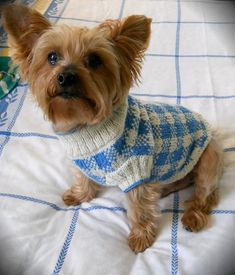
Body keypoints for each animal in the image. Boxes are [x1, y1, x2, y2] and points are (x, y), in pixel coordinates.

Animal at [3, 4, 224, 254]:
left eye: (94, 60)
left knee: (207, 194)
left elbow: (139, 207)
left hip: (209, 157)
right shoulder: (83, 161)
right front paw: (80, 194)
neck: (85, 126)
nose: (66, 76)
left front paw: (140, 236)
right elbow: (83, 179)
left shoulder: (136, 168)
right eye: (52, 57)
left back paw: (193, 215)